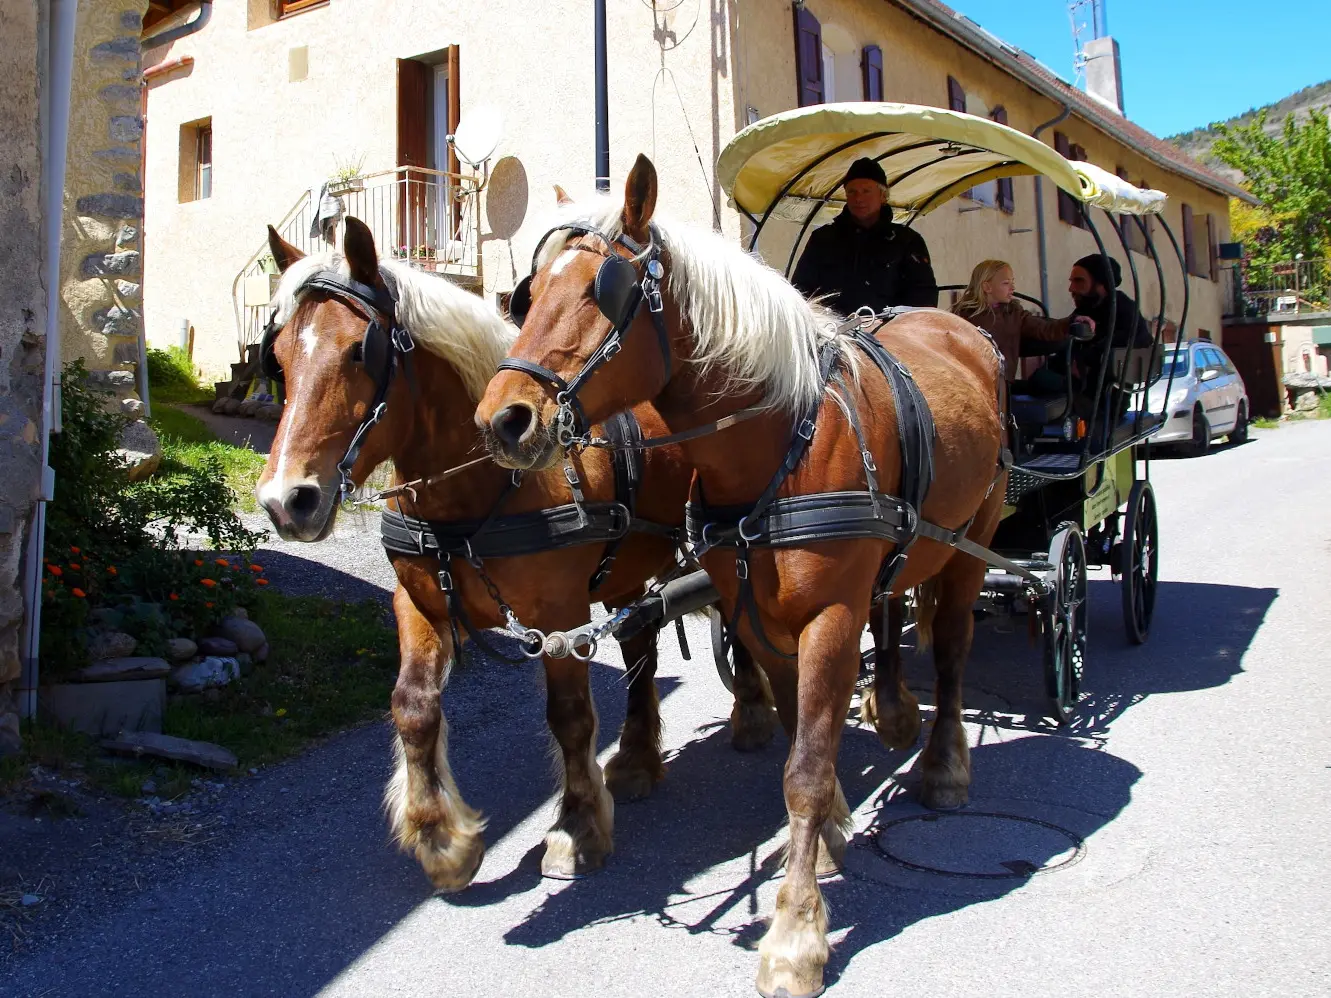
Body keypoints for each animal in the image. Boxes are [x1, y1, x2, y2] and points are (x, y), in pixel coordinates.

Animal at [254, 216, 777, 888]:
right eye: (280, 358)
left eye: (357, 352)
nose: (285, 501)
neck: (481, 493)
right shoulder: (418, 603)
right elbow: (412, 706)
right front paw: (440, 837)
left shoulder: (559, 616)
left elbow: (570, 715)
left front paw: (576, 826)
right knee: (640, 644)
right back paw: (636, 759)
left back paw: (753, 712)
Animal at [473, 160, 1000, 995]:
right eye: (528, 293)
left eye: (600, 290)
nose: (503, 420)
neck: (783, 444)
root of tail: (960, 326)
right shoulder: (757, 611)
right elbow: (795, 734)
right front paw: (830, 833)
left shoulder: (828, 617)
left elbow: (804, 769)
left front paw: (794, 933)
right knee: (896, 613)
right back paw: (892, 711)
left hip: (971, 544)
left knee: (950, 649)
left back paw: (944, 763)